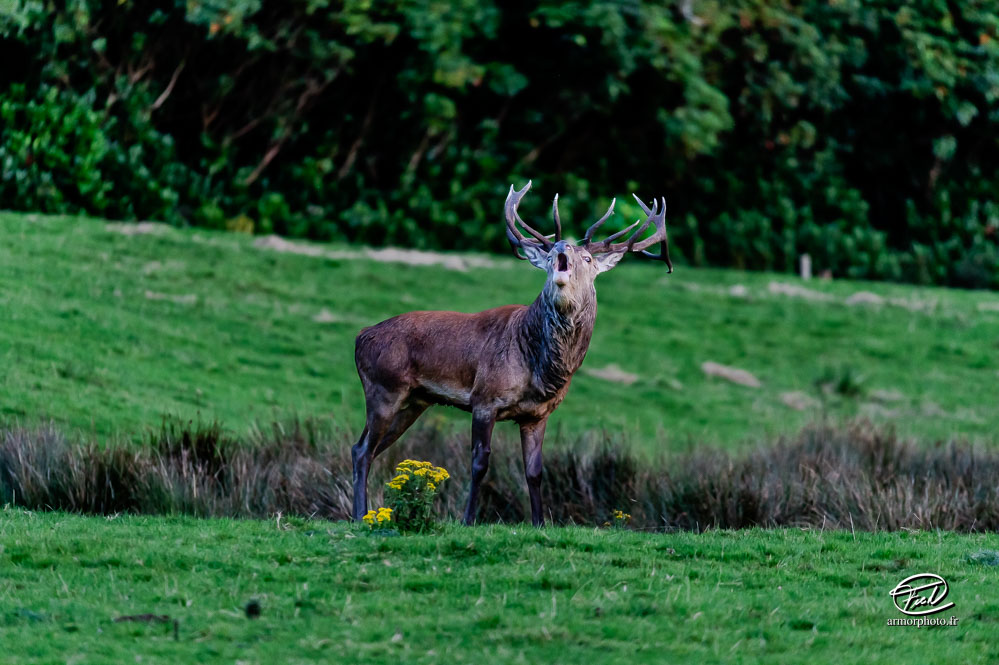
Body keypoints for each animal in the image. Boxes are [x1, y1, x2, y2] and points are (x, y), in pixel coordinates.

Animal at [351, 181, 672, 526]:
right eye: (550, 254)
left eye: (587, 258)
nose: (563, 247)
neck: (538, 369)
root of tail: (360, 337)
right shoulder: (484, 398)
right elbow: (479, 463)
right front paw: (468, 520)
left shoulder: (538, 414)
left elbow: (535, 471)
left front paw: (539, 522)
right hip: (384, 388)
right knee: (363, 449)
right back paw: (360, 516)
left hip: (414, 401)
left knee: (366, 448)